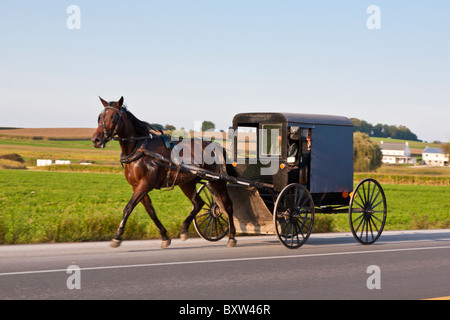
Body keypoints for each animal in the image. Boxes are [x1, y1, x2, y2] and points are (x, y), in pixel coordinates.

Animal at [90, 96, 237, 249]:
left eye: (113, 117)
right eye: (100, 117)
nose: (96, 139)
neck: (139, 149)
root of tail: (215, 145)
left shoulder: (145, 184)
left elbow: (128, 207)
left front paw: (117, 236)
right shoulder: (137, 186)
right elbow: (151, 212)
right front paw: (165, 236)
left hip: (216, 180)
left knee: (227, 205)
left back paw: (232, 236)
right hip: (187, 182)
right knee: (198, 203)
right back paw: (184, 229)